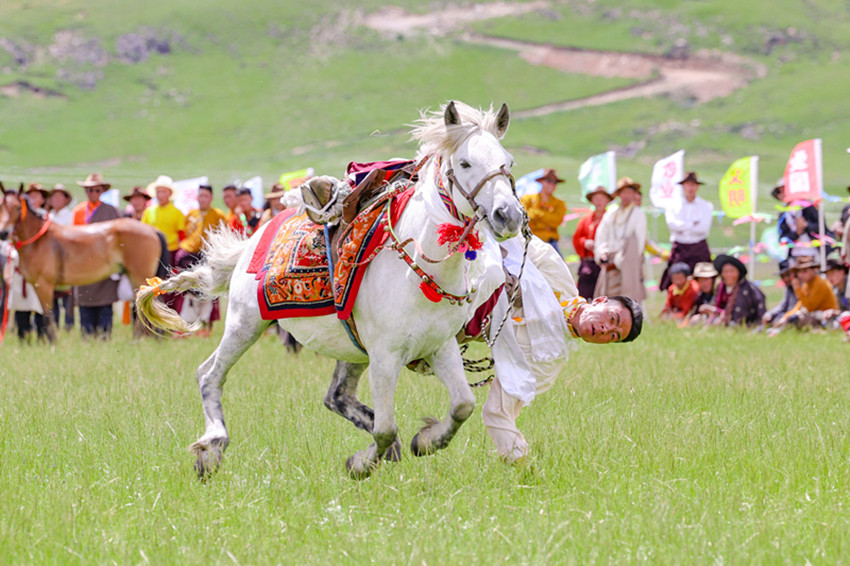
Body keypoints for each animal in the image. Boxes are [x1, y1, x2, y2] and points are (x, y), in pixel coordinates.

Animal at [0, 187, 168, 342]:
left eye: (17, 207)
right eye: (1, 206)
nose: (3, 233)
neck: (39, 240)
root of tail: (152, 230)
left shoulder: (44, 284)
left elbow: (48, 315)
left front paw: (53, 343)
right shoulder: (37, 285)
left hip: (140, 276)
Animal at [135, 101, 526, 478]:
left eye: (508, 162)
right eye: (465, 163)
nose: (508, 215)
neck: (419, 267)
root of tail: (253, 238)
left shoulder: (440, 346)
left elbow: (462, 405)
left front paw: (425, 440)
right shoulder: (385, 356)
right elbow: (386, 428)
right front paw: (362, 463)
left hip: (350, 346)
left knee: (337, 397)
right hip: (245, 324)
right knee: (210, 374)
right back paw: (211, 450)